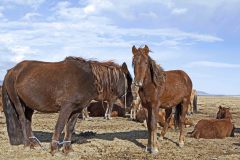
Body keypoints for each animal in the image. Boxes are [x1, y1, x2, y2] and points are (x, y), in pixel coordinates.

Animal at [1, 56, 132, 155]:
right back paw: (27, 144)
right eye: (129, 81)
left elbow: (70, 128)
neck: (86, 79)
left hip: (29, 105)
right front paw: (54, 148)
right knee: (23, 120)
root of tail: (11, 71)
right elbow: (59, 126)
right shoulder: (66, 107)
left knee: (28, 121)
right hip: (18, 102)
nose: (130, 103)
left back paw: (34, 143)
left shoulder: (77, 110)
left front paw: (67, 149)